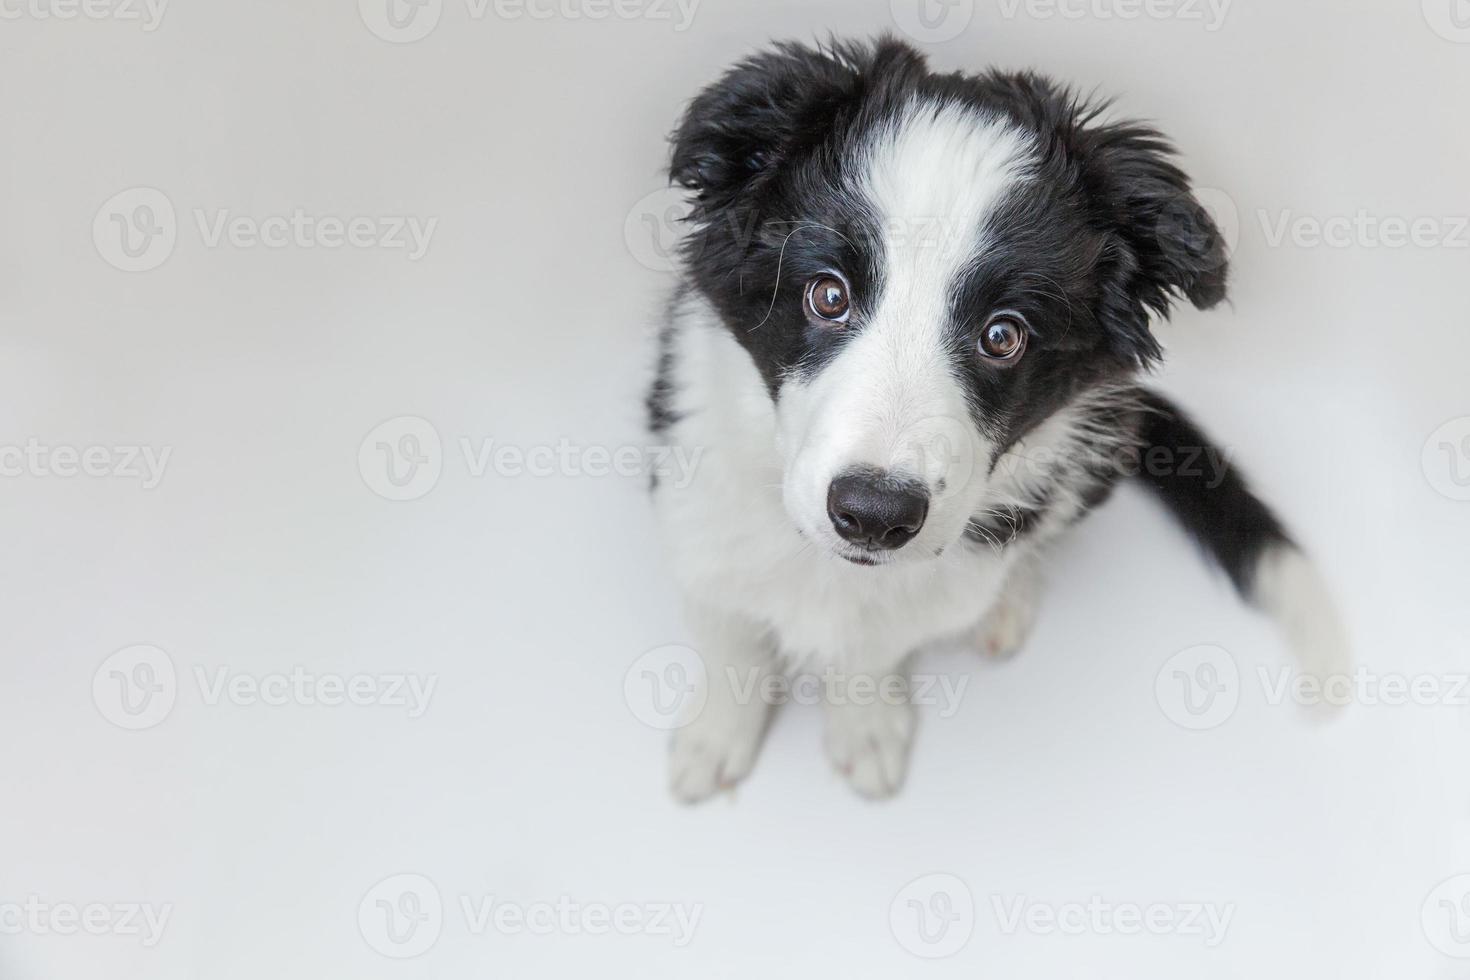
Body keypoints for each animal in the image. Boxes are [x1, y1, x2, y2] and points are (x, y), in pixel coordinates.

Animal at [649, 38, 1346, 805]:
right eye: (827, 294)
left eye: (1003, 336)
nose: (873, 515)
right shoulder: (694, 512)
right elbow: (728, 631)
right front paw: (718, 735)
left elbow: (872, 647)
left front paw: (865, 724)